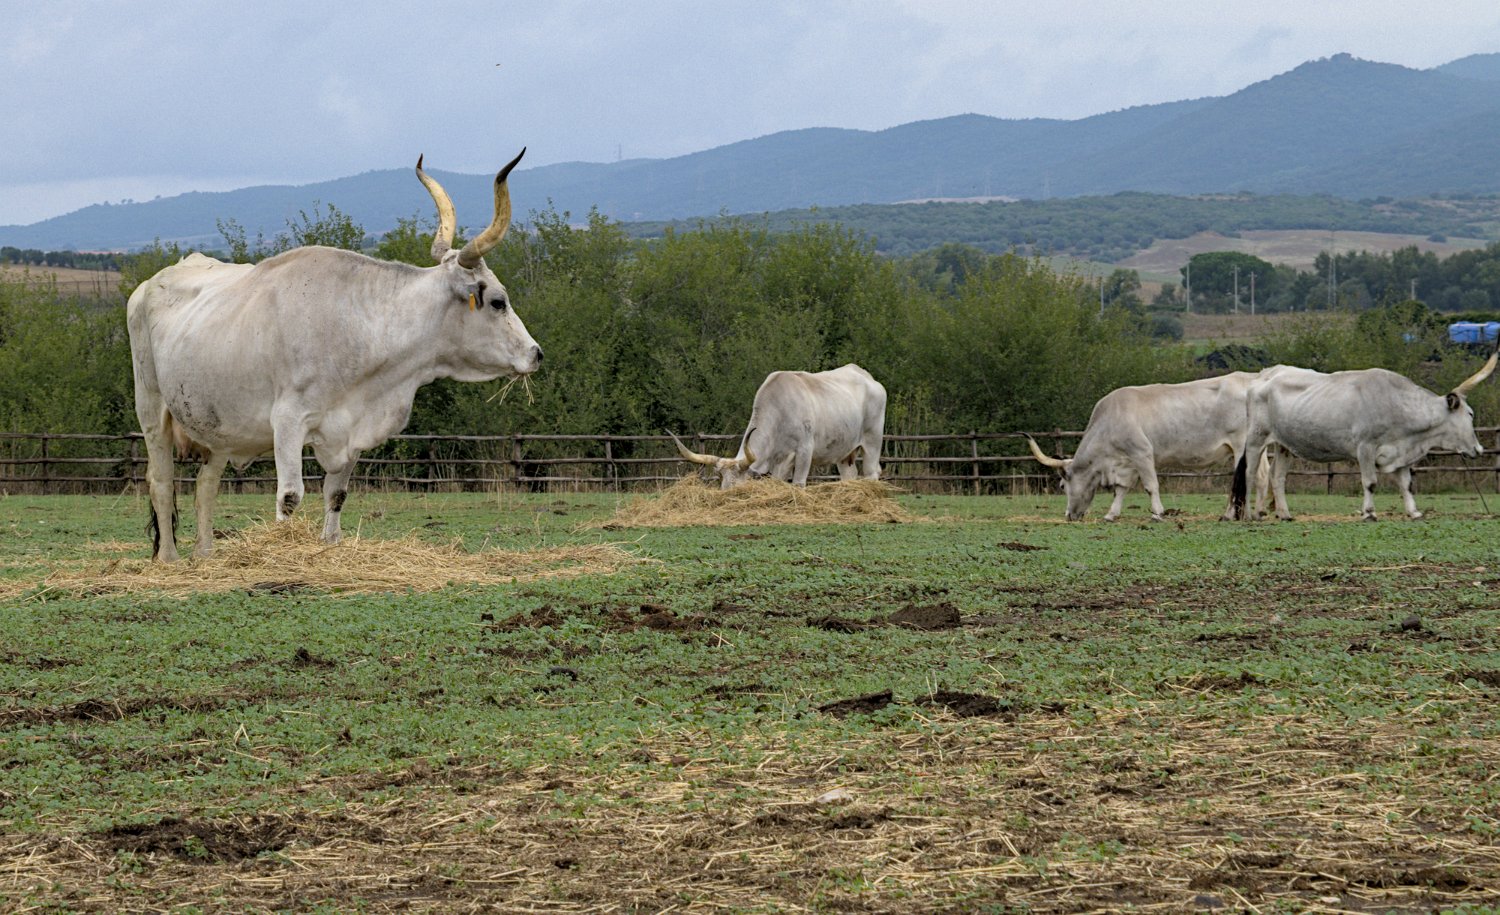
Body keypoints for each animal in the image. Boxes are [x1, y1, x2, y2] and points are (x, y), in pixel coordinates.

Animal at [127, 150, 540, 561]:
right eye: (498, 301)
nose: (535, 353)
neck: (355, 324)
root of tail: (151, 283)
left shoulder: (350, 427)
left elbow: (336, 493)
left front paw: (331, 544)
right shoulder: (288, 422)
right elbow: (290, 497)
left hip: (214, 424)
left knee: (205, 486)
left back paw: (206, 555)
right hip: (152, 409)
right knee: (161, 481)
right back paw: (170, 558)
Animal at [668, 363, 886, 489]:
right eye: (722, 483)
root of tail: (867, 376)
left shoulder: (805, 450)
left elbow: (798, 483)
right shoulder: (781, 459)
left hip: (873, 441)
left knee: (872, 472)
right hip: (845, 451)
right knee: (850, 475)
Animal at [1025, 372, 1280, 521]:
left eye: (1061, 486)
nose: (1069, 515)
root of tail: (1253, 379)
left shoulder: (1142, 453)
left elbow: (1150, 485)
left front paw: (1158, 513)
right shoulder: (1128, 462)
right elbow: (1122, 489)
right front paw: (1111, 514)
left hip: (1240, 446)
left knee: (1245, 478)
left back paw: (1230, 514)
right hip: (1256, 446)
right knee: (1262, 475)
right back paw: (1259, 512)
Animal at [1231, 351, 1497, 521]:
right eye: (1470, 414)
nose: (1479, 449)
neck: (1397, 404)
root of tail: (1265, 375)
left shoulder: (1401, 453)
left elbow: (1406, 484)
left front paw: (1413, 512)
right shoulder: (1366, 448)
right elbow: (1370, 482)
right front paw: (1369, 512)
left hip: (1284, 445)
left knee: (1278, 477)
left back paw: (1284, 514)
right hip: (1256, 439)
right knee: (1251, 474)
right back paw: (1248, 515)